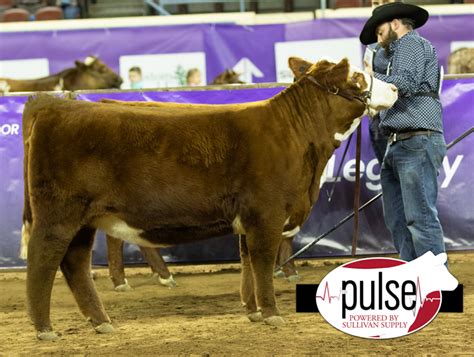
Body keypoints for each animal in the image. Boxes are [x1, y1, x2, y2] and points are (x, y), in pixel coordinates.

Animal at [21, 57, 396, 338]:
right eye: (357, 76)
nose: (394, 88)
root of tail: (52, 105)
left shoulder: (249, 217)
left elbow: (247, 261)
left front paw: (252, 310)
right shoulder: (268, 213)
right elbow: (262, 260)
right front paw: (271, 312)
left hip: (85, 219)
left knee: (75, 263)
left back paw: (101, 322)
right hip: (59, 213)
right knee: (43, 259)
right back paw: (44, 328)